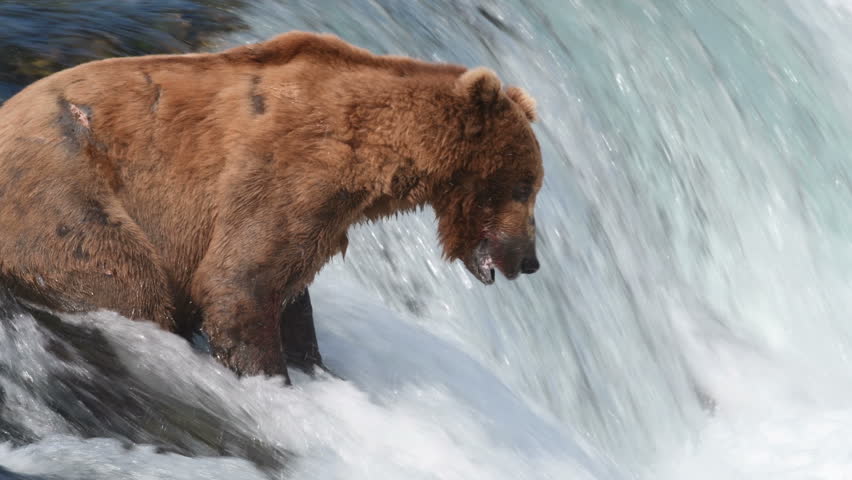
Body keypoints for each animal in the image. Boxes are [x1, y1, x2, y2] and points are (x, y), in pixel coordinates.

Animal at [0, 31, 544, 380]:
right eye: (525, 186)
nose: (531, 259)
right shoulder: (288, 169)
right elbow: (238, 279)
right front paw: (272, 378)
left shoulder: (326, 212)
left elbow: (289, 290)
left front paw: (314, 364)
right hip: (63, 192)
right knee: (125, 280)